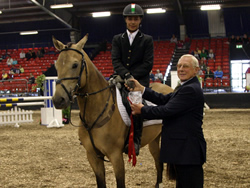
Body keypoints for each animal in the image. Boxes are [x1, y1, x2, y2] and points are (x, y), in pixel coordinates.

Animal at [52, 34, 174, 188]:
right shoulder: (93, 156)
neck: (96, 111)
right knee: (158, 163)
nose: (58, 100)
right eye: (56, 65)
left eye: (75, 65)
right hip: (154, 139)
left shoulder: (116, 156)